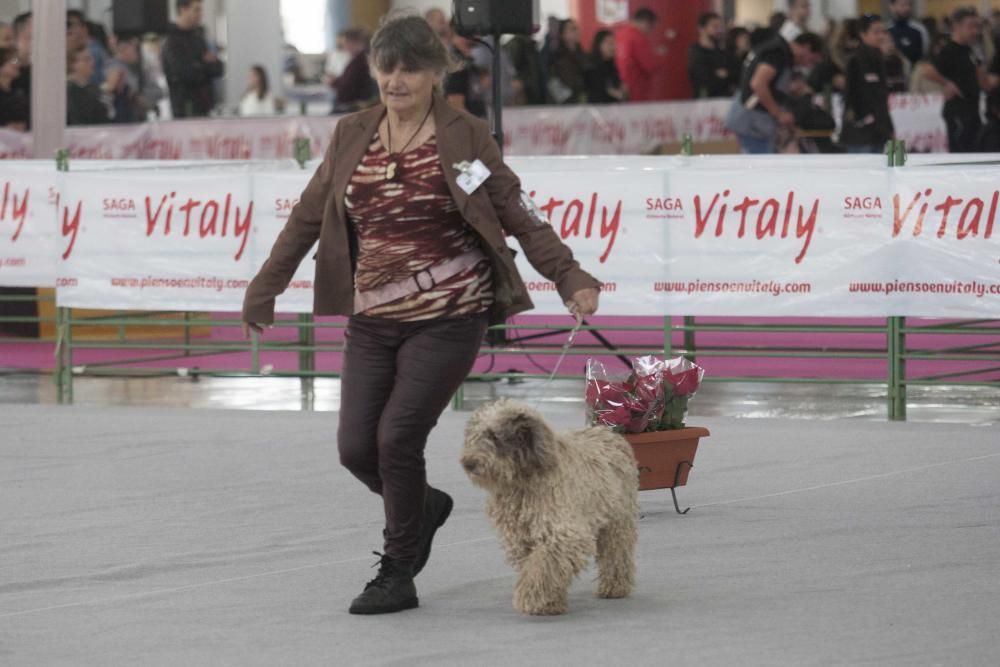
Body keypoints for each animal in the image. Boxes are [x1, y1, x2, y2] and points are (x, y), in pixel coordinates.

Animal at [462, 396, 640, 616]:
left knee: (616, 554)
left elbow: (542, 566)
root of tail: (609, 434)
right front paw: (551, 602)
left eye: (494, 436)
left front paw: (530, 596)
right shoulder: (522, 537)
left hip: (618, 521)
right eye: (474, 435)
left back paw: (615, 587)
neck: (523, 478)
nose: (468, 463)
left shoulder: (564, 534)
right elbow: (539, 567)